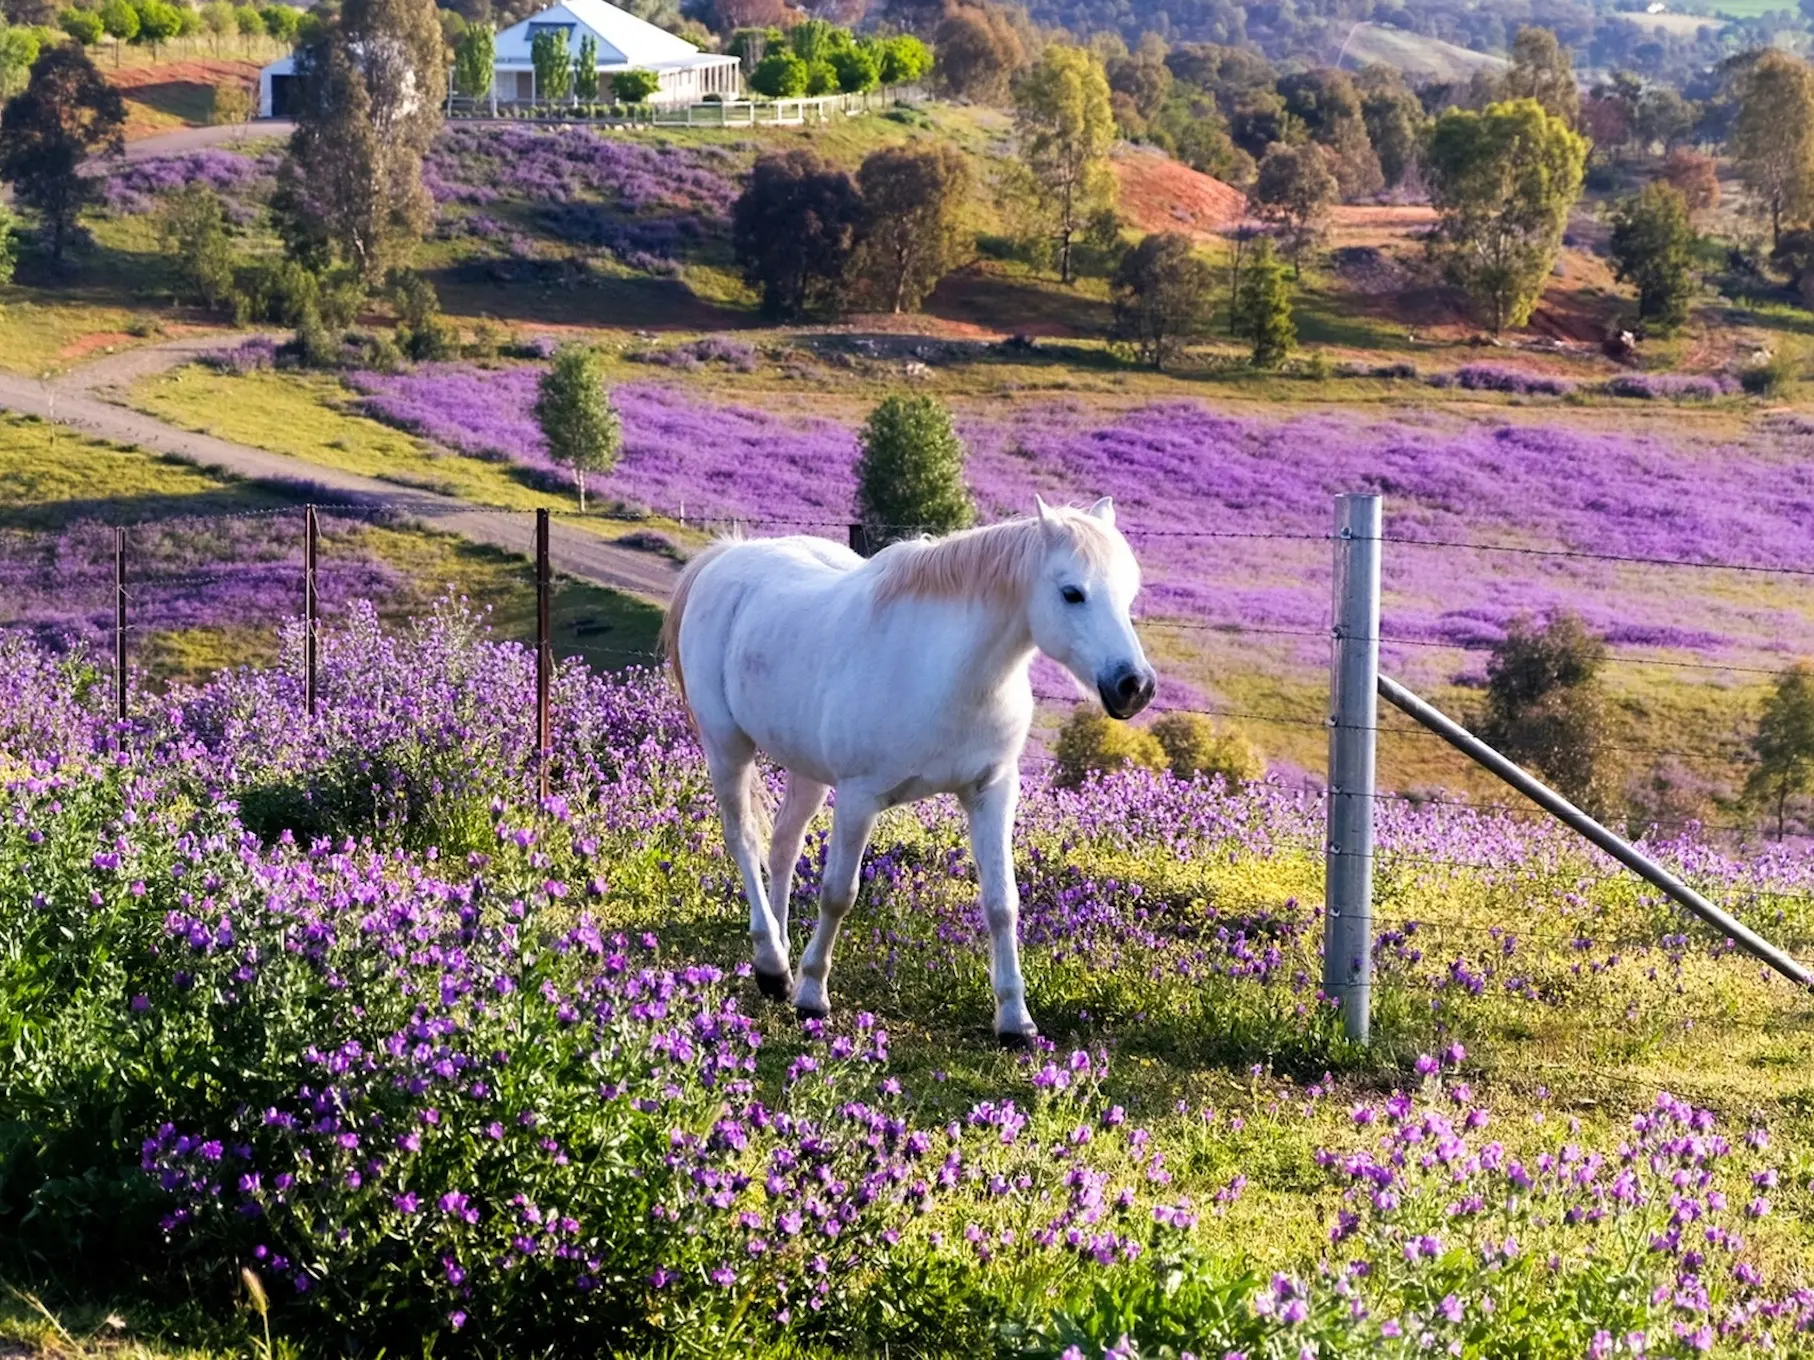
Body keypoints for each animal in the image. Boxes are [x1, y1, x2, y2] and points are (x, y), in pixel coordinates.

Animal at [660, 496, 1153, 1044]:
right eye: (1072, 593)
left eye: (1128, 593)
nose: (1134, 686)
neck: (946, 672)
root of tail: (726, 557)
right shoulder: (859, 799)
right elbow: (838, 894)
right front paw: (812, 996)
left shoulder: (992, 791)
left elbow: (1002, 903)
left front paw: (1015, 1021)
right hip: (728, 747)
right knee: (744, 840)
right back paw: (772, 964)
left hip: (807, 770)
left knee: (783, 846)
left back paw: (781, 962)